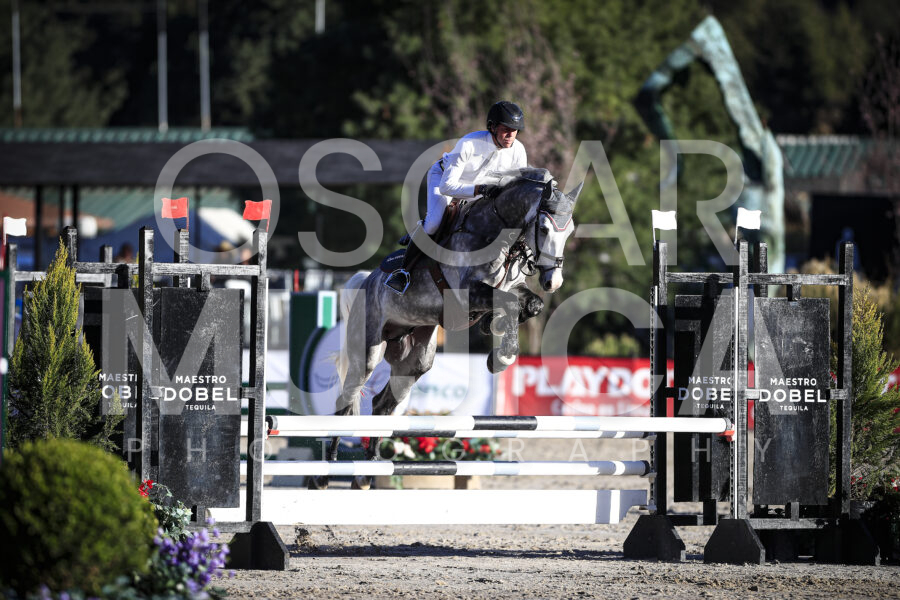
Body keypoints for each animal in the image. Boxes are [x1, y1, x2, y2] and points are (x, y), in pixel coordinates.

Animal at [313, 168, 583, 489]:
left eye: (570, 231)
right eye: (543, 228)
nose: (553, 282)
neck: (496, 234)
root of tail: (366, 280)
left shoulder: (509, 288)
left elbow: (529, 305)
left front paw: (496, 341)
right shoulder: (468, 294)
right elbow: (509, 304)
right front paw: (500, 354)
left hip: (414, 360)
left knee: (382, 404)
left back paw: (369, 470)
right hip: (367, 353)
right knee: (345, 402)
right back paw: (324, 475)